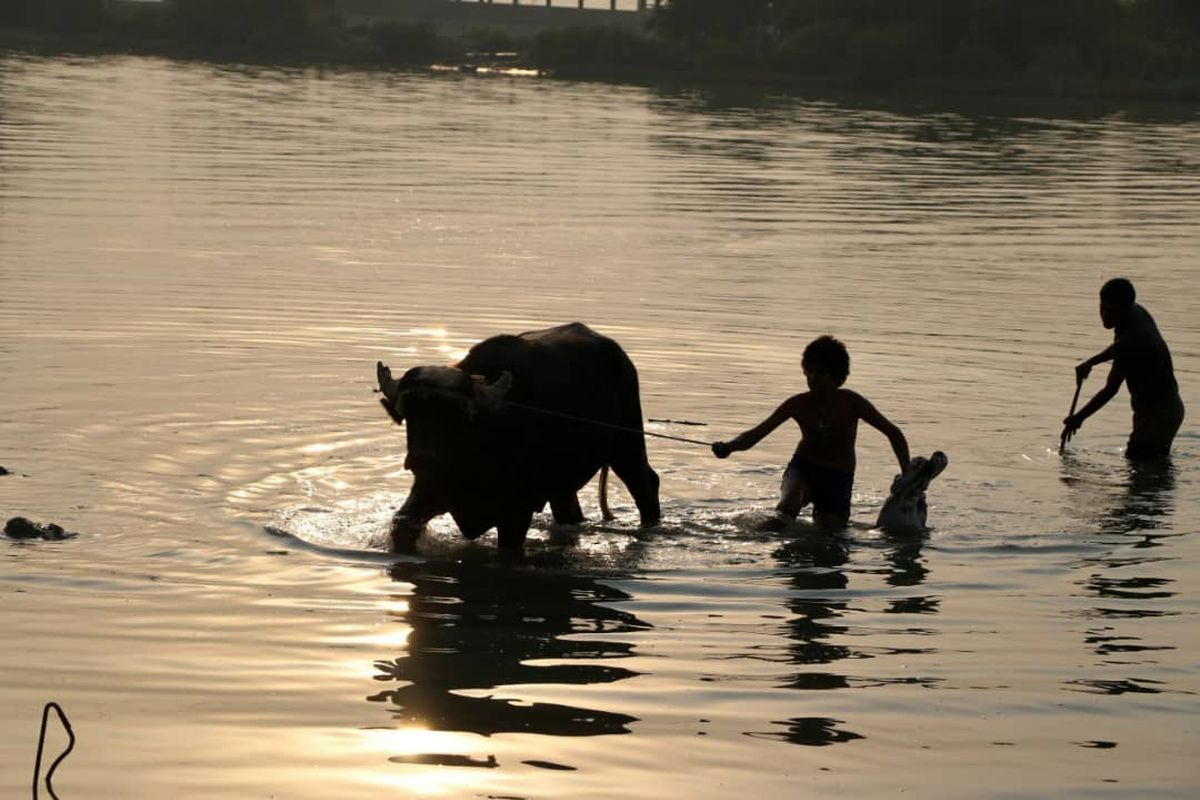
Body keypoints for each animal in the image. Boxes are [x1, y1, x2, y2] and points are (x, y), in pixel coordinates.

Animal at [374, 321, 662, 554]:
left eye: (454, 418)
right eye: (411, 416)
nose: (421, 459)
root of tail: (621, 359)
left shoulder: (516, 513)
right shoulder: (431, 489)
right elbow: (403, 524)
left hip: (627, 445)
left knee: (646, 484)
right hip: (562, 482)